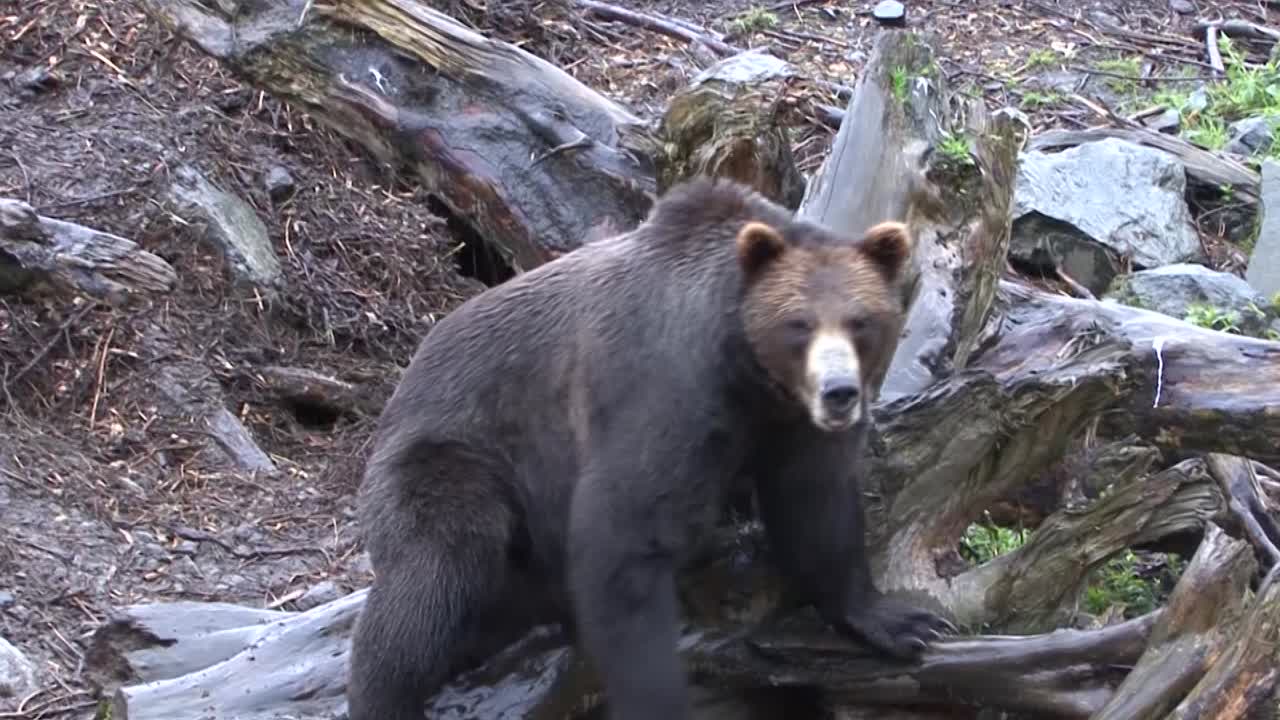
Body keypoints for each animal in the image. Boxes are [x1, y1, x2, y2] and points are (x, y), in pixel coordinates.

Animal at [346, 176, 954, 720]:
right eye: (798, 324)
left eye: (861, 321)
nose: (839, 392)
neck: (746, 373)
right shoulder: (661, 384)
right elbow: (622, 536)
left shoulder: (788, 423)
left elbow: (817, 504)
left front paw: (903, 622)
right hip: (455, 455)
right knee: (437, 569)